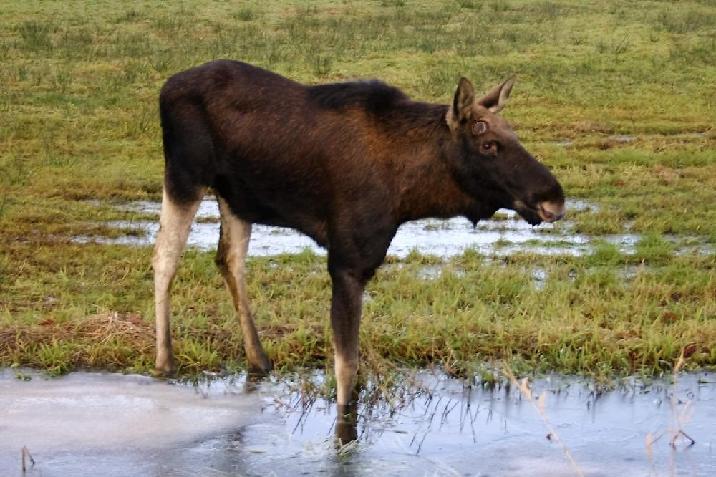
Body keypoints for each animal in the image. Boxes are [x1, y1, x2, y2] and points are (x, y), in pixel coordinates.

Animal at [155, 61, 564, 440]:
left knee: (229, 259)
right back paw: (165, 361)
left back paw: (259, 359)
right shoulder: (346, 262)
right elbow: (347, 372)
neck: (411, 193)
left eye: (514, 135)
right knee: (164, 258)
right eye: (488, 144)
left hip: (235, 197)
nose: (554, 198)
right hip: (185, 175)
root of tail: (166, 87)